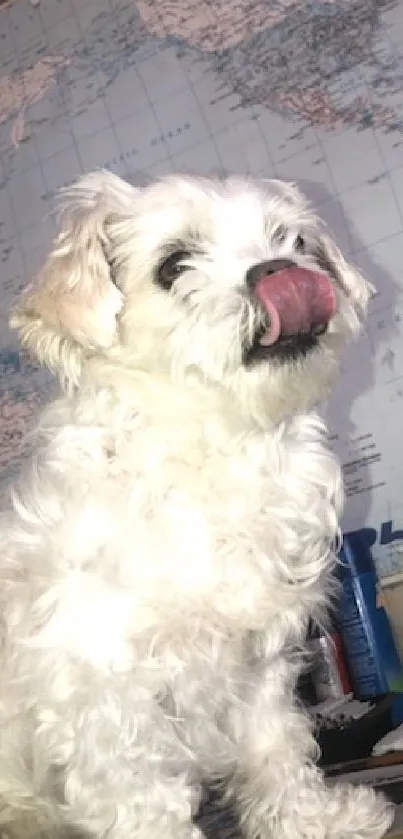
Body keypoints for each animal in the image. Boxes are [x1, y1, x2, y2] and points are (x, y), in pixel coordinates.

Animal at [0, 171, 396, 839]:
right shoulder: (102, 700)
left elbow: (277, 751)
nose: (280, 270)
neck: (219, 447)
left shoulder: (258, 667)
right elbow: (143, 802)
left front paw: (313, 821)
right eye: (173, 264)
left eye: (296, 241)